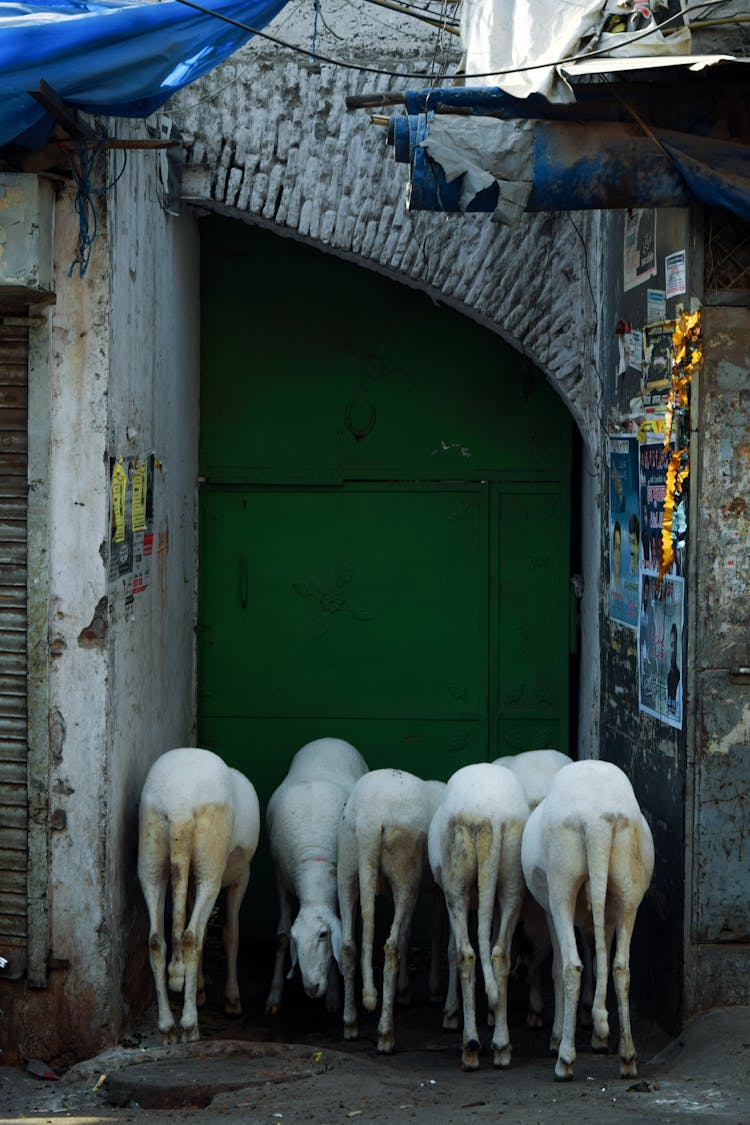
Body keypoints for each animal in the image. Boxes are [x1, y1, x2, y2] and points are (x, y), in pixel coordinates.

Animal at [137, 747, 260, 1044]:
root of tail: (179, 805)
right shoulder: (242, 878)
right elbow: (230, 934)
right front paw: (232, 1000)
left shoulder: (191, 885)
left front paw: (201, 990)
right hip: (211, 861)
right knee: (191, 938)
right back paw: (190, 1026)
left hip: (151, 851)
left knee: (157, 940)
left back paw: (167, 1027)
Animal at [265, 733, 368, 1017]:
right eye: (295, 940)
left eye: (323, 935)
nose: (311, 988)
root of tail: (330, 738)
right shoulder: (280, 880)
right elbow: (280, 937)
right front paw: (274, 996)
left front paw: (334, 995)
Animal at [337, 765, 443, 1053]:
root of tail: (370, 819)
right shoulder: (438, 889)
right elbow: (435, 933)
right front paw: (430, 990)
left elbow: (410, 933)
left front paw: (404, 991)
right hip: (405, 866)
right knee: (391, 946)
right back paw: (386, 1035)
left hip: (348, 860)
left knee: (349, 944)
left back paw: (351, 1023)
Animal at [427, 760, 528, 1066]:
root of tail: (492, 818)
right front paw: (493, 1013)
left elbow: (451, 948)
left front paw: (450, 1013)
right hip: (511, 874)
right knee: (499, 953)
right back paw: (502, 1046)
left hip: (456, 881)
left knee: (466, 954)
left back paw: (470, 1046)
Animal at [521, 760, 656, 1075]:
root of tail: (597, 820)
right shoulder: (606, 915)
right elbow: (601, 959)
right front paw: (599, 1034)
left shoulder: (549, 911)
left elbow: (559, 966)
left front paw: (557, 1037)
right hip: (626, 889)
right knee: (620, 967)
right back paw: (627, 1057)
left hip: (562, 887)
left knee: (571, 965)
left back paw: (565, 1060)